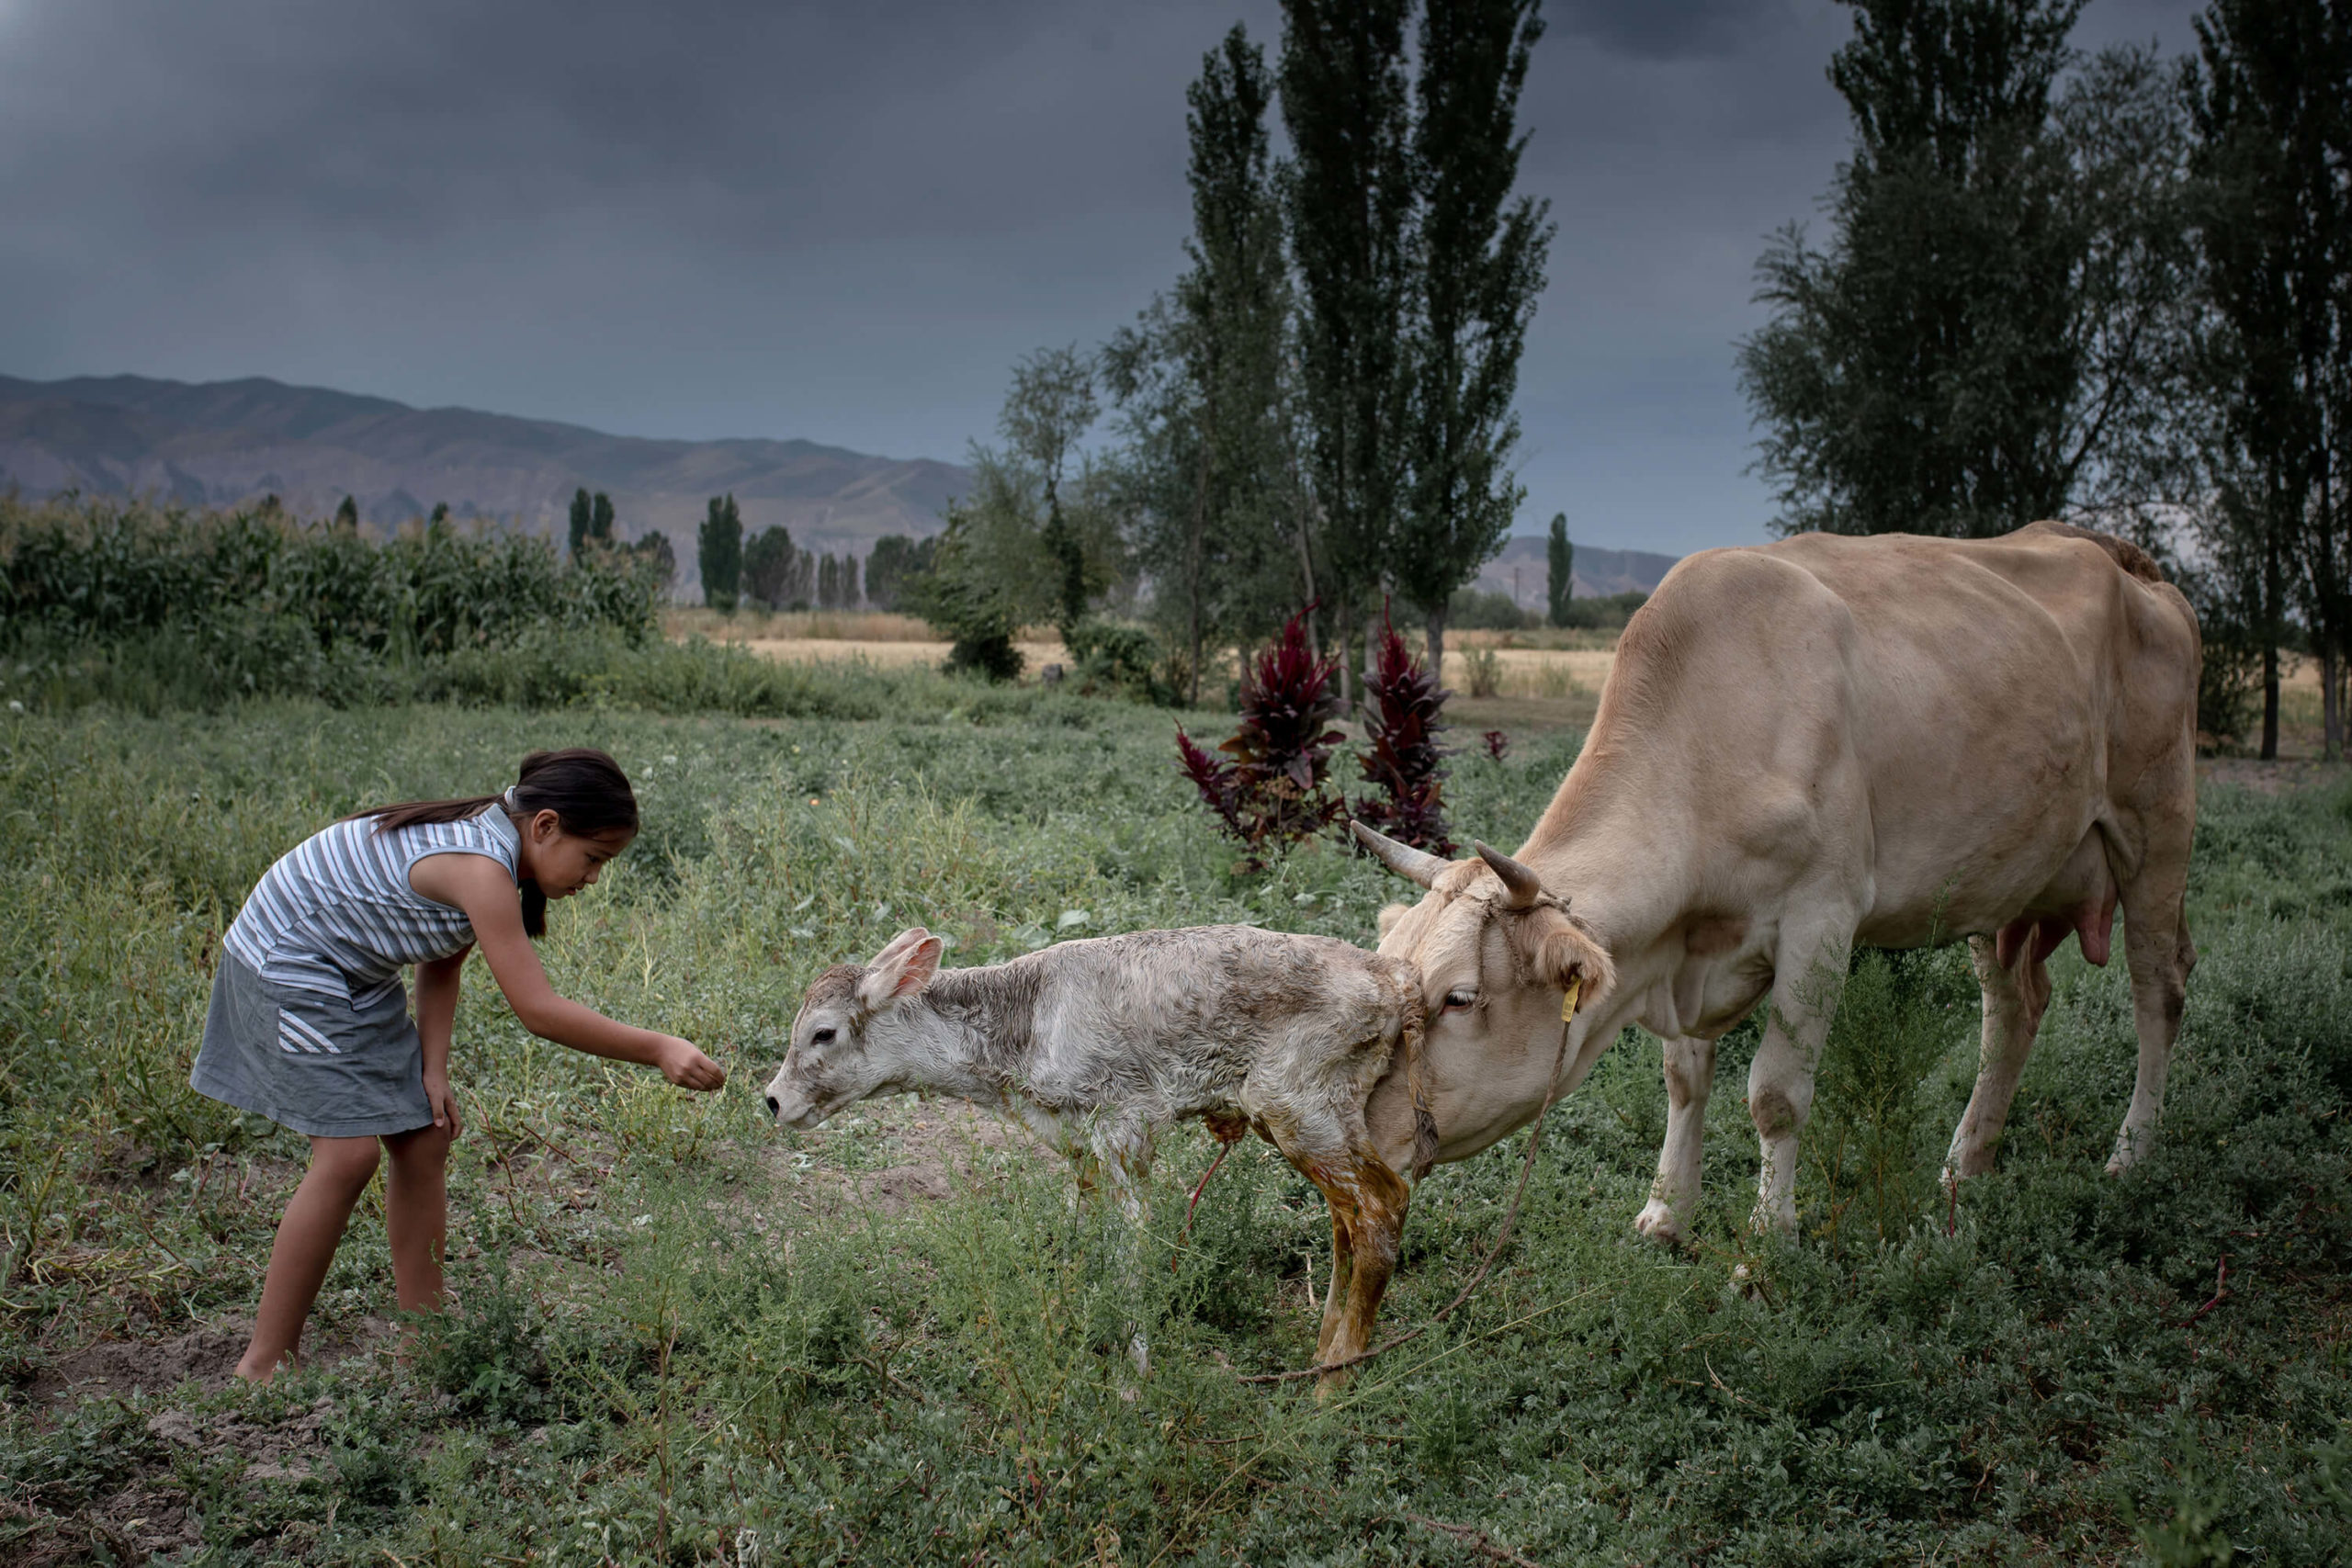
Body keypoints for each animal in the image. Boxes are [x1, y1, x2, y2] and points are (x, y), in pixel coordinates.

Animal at [771, 926, 1430, 1382]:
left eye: (823, 1032)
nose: (774, 1099)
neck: (1023, 1032)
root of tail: (1393, 974)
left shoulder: (1125, 1126)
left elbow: (1127, 1249)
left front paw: (1132, 1379)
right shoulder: (1079, 1148)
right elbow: (1080, 1238)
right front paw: (1071, 1332)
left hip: (1297, 1105)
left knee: (1383, 1205)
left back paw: (1331, 1386)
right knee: (1348, 1217)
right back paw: (1321, 1355)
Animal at [1354, 524, 2191, 1241]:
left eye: (1460, 998)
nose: (1359, 1135)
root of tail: (2120, 558)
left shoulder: (1822, 917)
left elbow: (1776, 1094)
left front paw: (1766, 1240)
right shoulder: (1689, 948)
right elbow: (1684, 1077)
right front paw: (1666, 1212)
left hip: (2157, 829)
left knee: (2158, 992)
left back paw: (2132, 1153)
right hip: (1998, 873)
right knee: (2013, 1006)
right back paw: (1966, 1161)